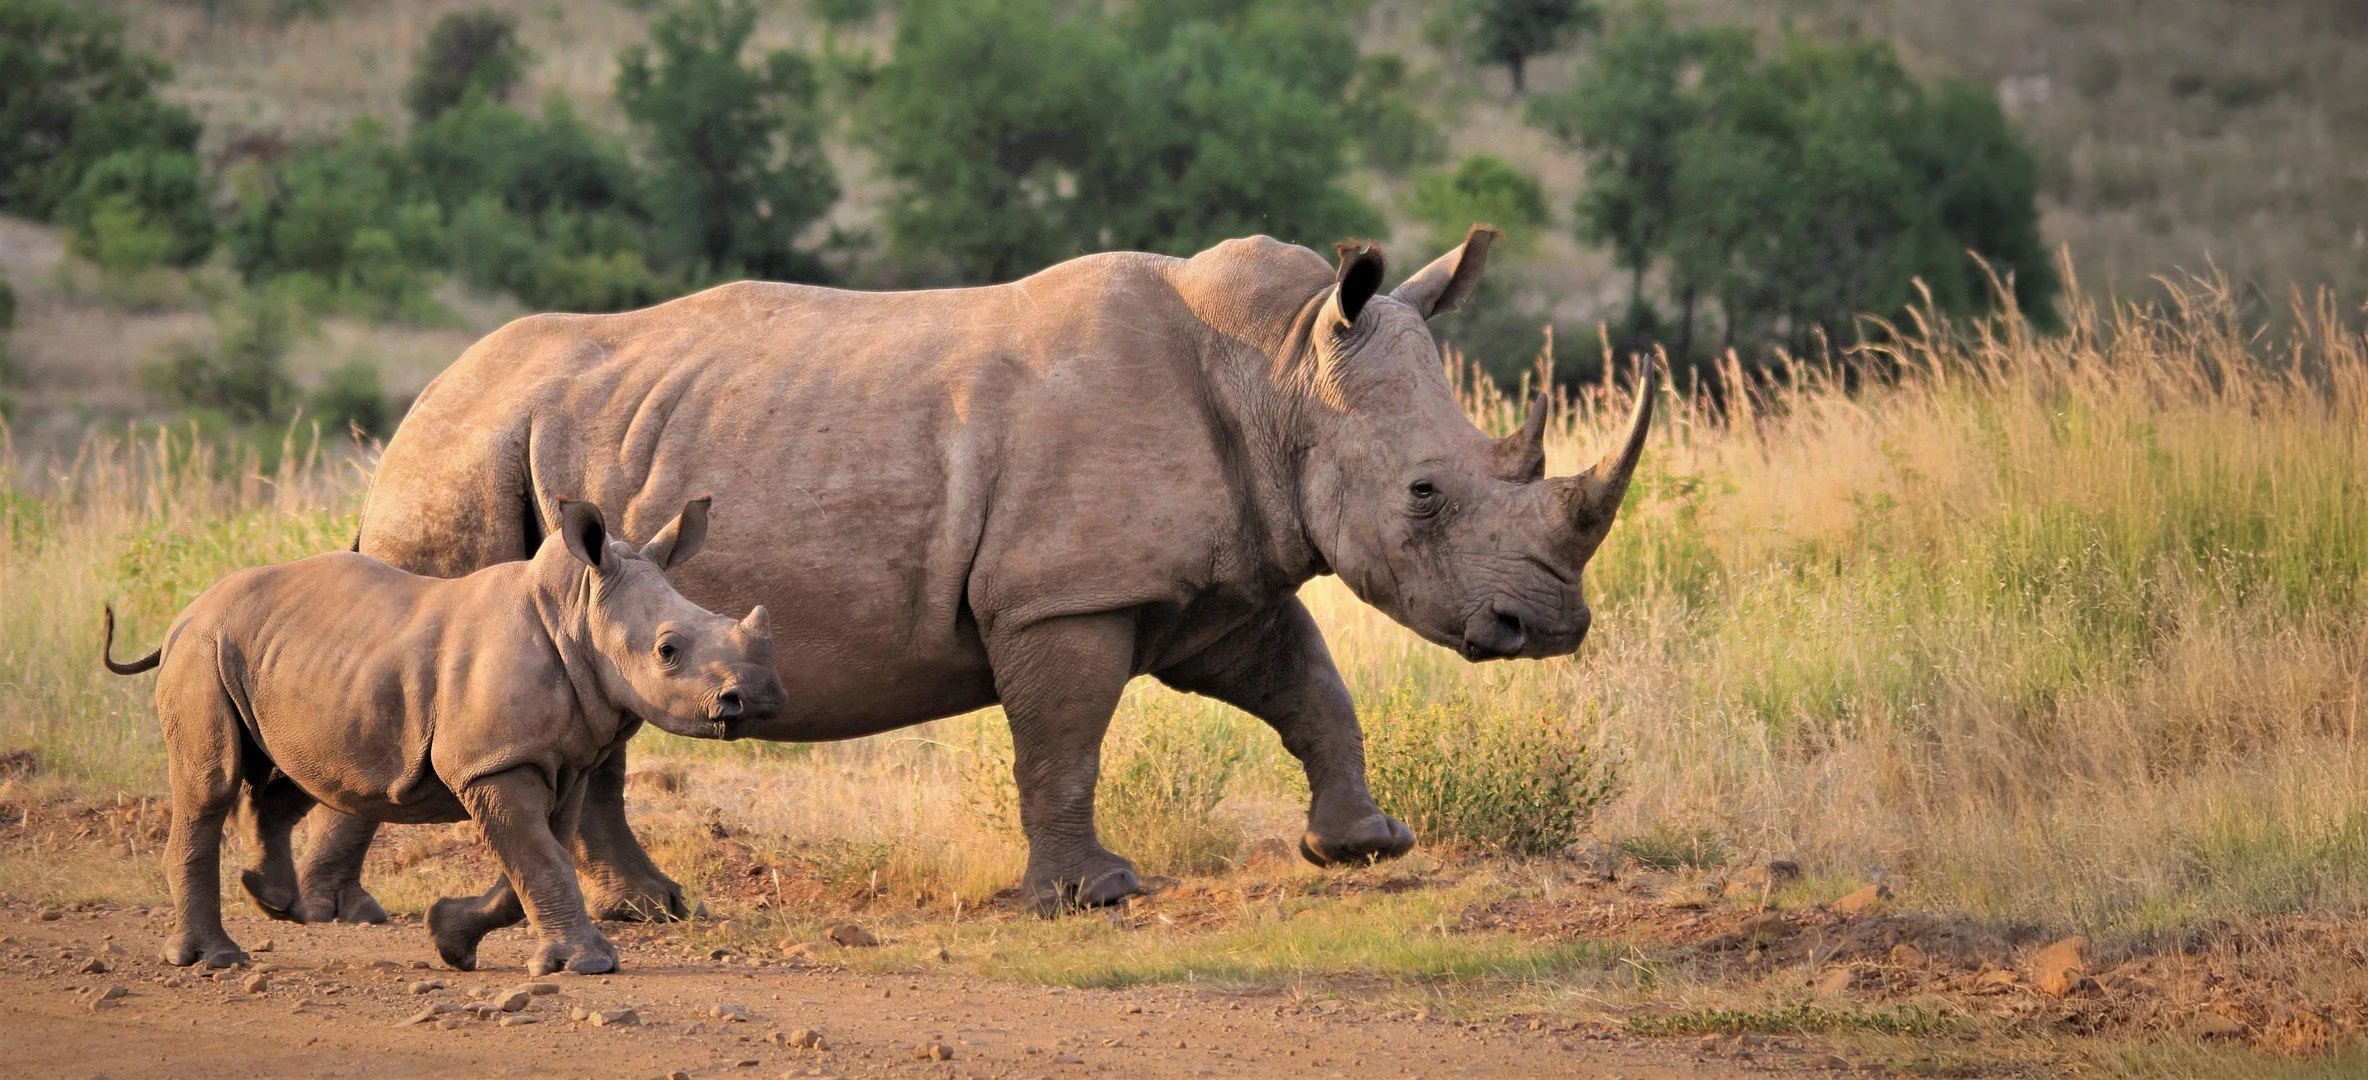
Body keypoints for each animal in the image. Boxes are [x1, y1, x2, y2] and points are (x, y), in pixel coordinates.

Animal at [104, 499, 784, 972]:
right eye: (668, 651)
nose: (759, 697)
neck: (577, 611)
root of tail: (183, 615)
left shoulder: (555, 761)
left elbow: (537, 859)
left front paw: (450, 938)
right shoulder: (493, 762)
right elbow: (540, 859)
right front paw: (591, 964)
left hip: (281, 658)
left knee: (298, 772)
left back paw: (273, 902)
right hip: (203, 649)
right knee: (211, 784)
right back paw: (216, 958)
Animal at [290, 225, 1655, 918]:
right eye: (1425, 494)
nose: (1548, 625)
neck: (1278, 371)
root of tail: (421, 401)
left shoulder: (1216, 581)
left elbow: (1311, 688)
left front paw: (1364, 847)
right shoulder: (1063, 592)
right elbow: (1064, 739)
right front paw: (1091, 897)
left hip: (553, 457)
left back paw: (652, 910)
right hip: (465, 460)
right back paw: (334, 911)